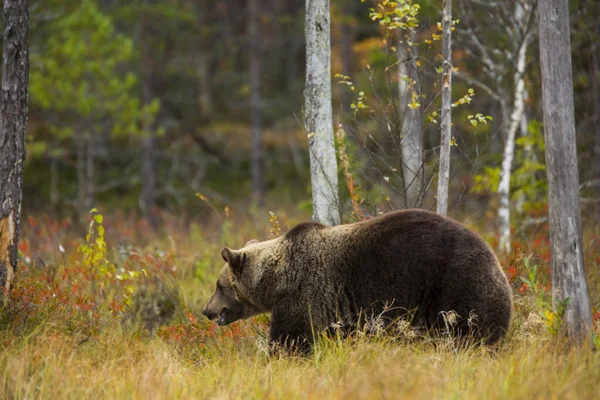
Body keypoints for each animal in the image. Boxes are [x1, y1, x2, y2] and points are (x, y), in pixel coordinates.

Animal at [202, 209, 510, 350]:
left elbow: (292, 337)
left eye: (219, 285)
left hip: (454, 281)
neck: (277, 279)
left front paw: (278, 355)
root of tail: (494, 254)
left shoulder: (306, 293)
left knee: (472, 326)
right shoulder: (338, 309)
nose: (206, 310)